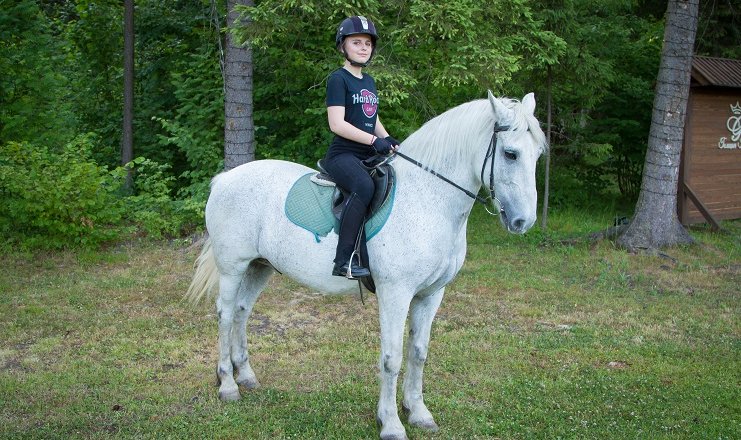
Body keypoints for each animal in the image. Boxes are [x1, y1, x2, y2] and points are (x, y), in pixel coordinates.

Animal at [185, 90, 544, 440]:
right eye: (511, 154)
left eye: (538, 154)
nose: (523, 222)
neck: (427, 199)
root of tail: (225, 179)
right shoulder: (395, 293)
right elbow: (391, 358)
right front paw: (391, 423)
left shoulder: (431, 294)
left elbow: (418, 351)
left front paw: (418, 412)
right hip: (233, 266)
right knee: (225, 314)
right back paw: (228, 385)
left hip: (260, 266)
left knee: (242, 311)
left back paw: (245, 375)